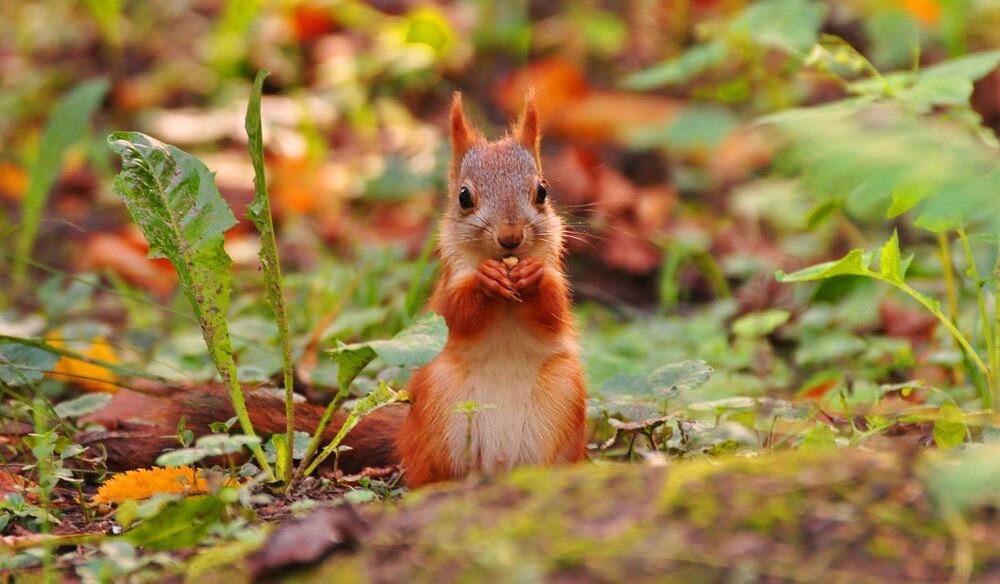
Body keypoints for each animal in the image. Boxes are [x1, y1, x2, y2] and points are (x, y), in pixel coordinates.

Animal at [86, 91, 588, 488]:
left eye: (542, 191)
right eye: (464, 197)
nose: (510, 238)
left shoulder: (557, 293)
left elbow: (554, 310)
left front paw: (533, 278)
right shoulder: (444, 294)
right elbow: (455, 313)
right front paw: (486, 282)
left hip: (563, 406)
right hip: (440, 410)